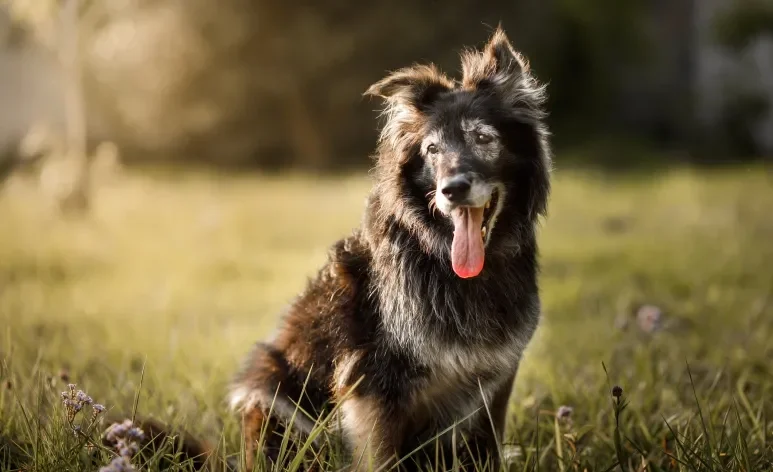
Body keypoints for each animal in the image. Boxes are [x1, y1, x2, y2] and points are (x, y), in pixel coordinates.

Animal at [226, 26, 552, 472]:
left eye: (483, 138)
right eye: (432, 149)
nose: (452, 190)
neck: (448, 265)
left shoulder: (497, 377)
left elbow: (488, 446)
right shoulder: (373, 386)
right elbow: (379, 457)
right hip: (269, 390)